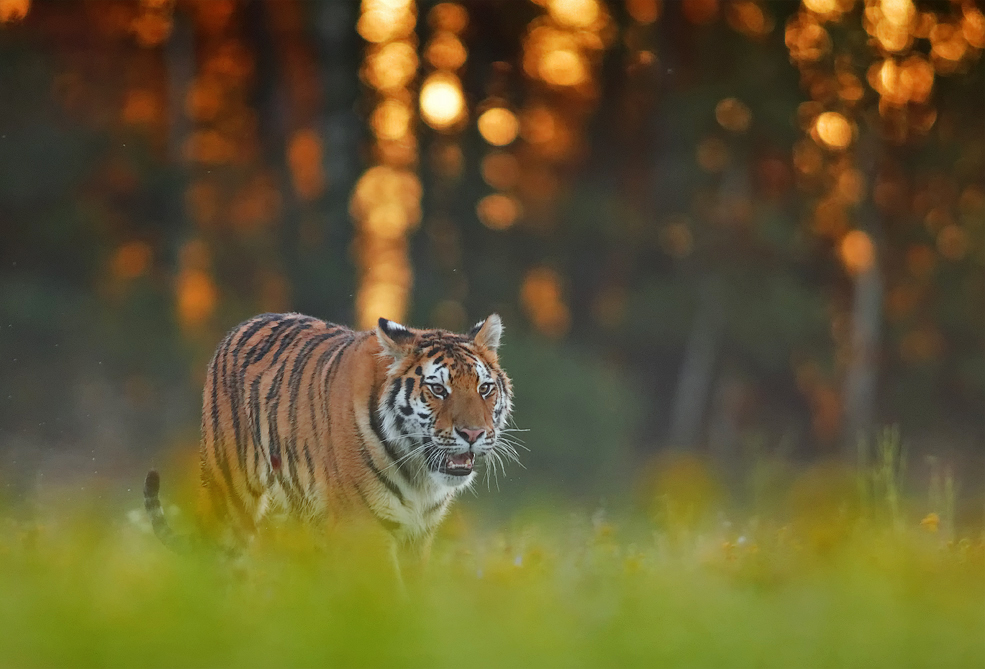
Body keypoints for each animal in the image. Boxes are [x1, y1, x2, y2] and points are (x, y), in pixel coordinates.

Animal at [146, 314, 516, 564]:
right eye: (438, 389)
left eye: (485, 388)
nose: (473, 434)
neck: (420, 476)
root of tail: (241, 326)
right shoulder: (363, 529)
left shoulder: (418, 535)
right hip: (229, 498)